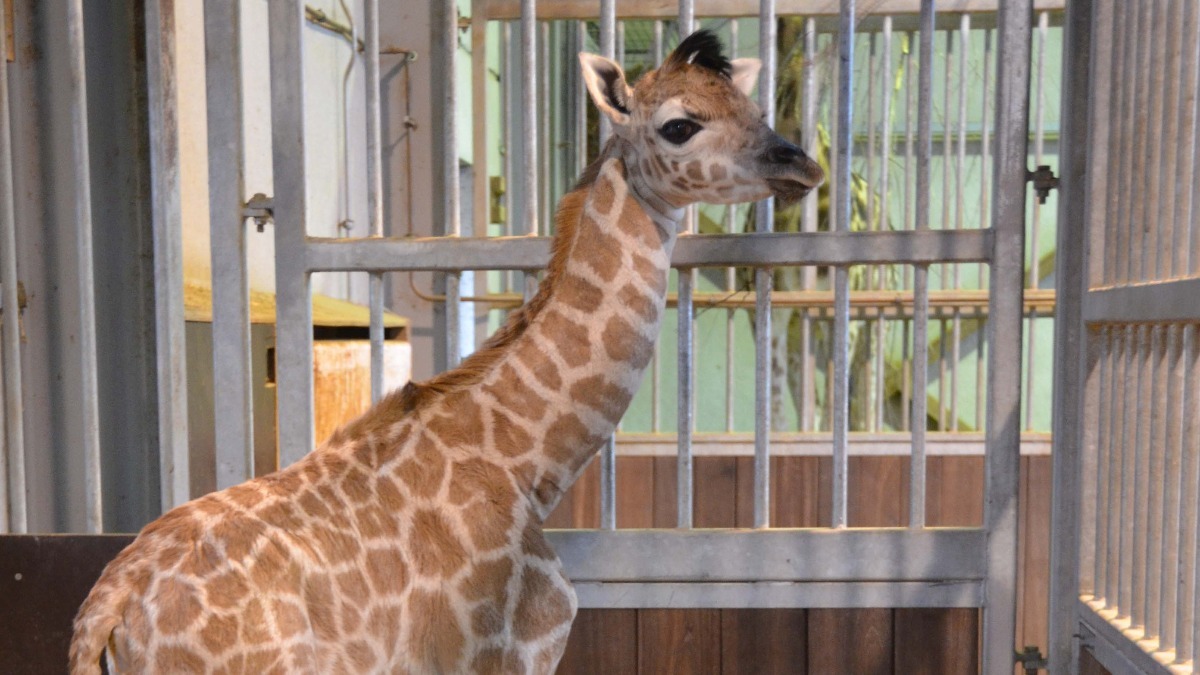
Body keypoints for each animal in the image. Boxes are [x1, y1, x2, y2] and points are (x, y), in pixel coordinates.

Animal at [70, 30, 823, 675]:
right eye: (678, 125)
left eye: (754, 108)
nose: (804, 163)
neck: (528, 460)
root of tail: (106, 620)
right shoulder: (502, 655)